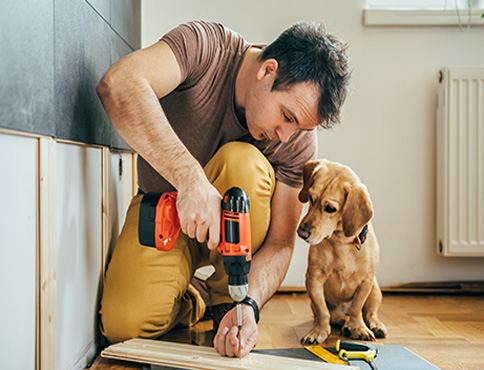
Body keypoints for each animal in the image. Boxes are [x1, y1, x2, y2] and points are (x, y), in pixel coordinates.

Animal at [296, 159, 388, 344]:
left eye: (330, 208)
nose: (301, 232)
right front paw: (318, 331)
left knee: (369, 313)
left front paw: (359, 328)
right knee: (337, 316)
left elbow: (356, 309)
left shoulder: (366, 282)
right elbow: (322, 312)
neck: (342, 243)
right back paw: (345, 324)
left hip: (375, 290)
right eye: (311, 197)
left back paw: (374, 325)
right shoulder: (314, 280)